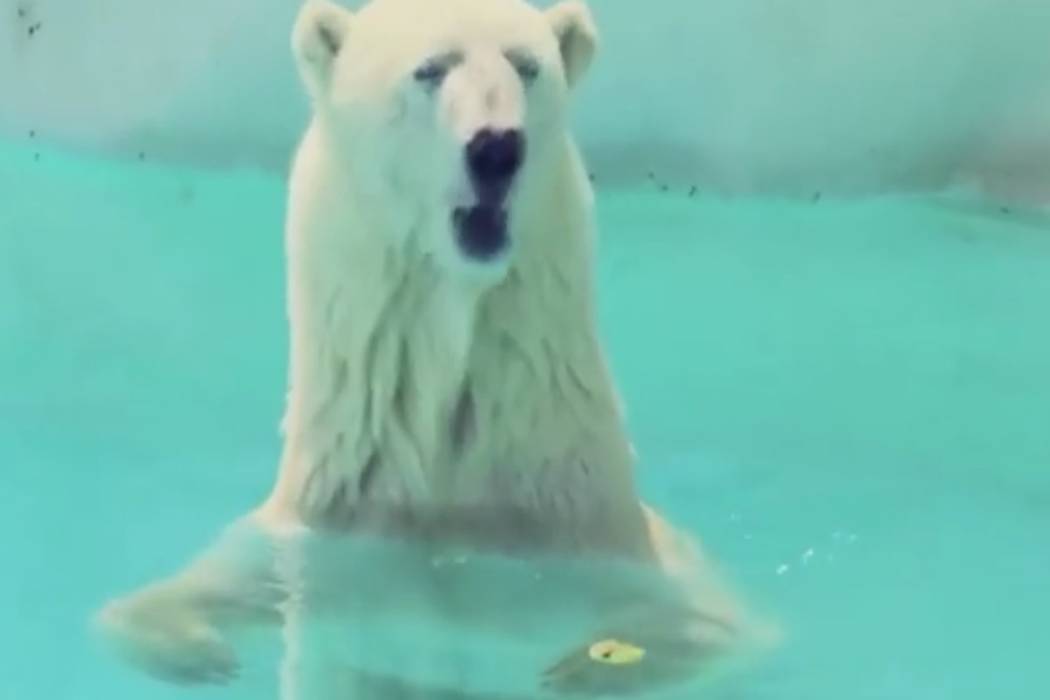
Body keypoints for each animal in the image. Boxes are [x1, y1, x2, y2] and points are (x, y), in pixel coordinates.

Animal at [93, 0, 777, 697]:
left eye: (526, 65)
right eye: (430, 68)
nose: (498, 147)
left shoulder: (595, 540)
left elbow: (711, 624)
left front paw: (588, 663)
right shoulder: (324, 529)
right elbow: (161, 601)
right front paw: (194, 646)